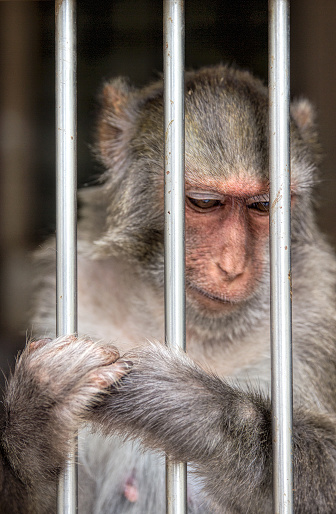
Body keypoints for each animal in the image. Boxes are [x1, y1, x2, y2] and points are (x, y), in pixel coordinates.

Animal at [0, 65, 336, 512]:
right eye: (205, 203)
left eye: (263, 207)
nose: (232, 267)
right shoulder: (72, 283)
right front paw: (38, 412)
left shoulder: (319, 306)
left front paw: (187, 404)